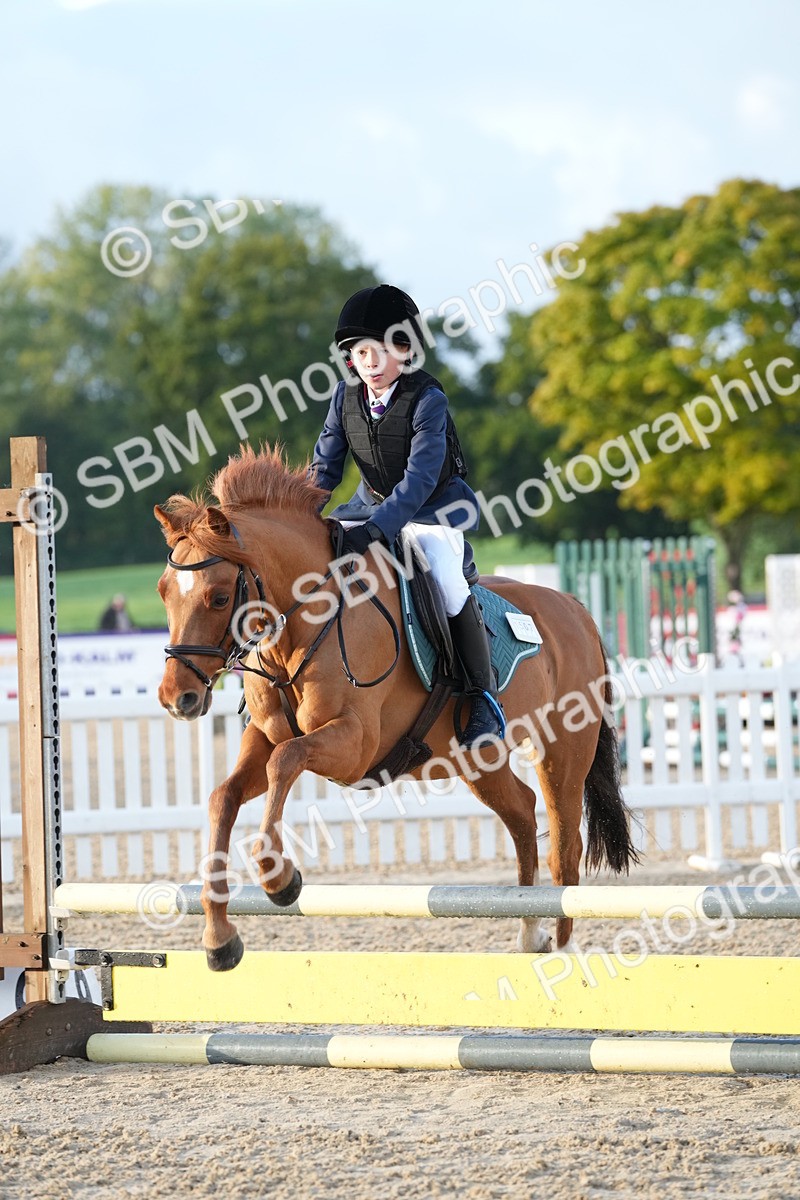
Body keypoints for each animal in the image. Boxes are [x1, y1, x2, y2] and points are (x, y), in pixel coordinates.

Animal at [154, 444, 638, 972]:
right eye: (163, 592)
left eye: (220, 597)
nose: (177, 698)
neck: (303, 625)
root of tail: (575, 608)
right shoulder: (264, 738)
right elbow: (224, 796)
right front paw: (220, 939)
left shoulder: (354, 745)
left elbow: (286, 762)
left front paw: (279, 879)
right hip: (478, 761)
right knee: (524, 815)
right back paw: (531, 933)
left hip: (563, 751)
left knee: (564, 846)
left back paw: (564, 951)